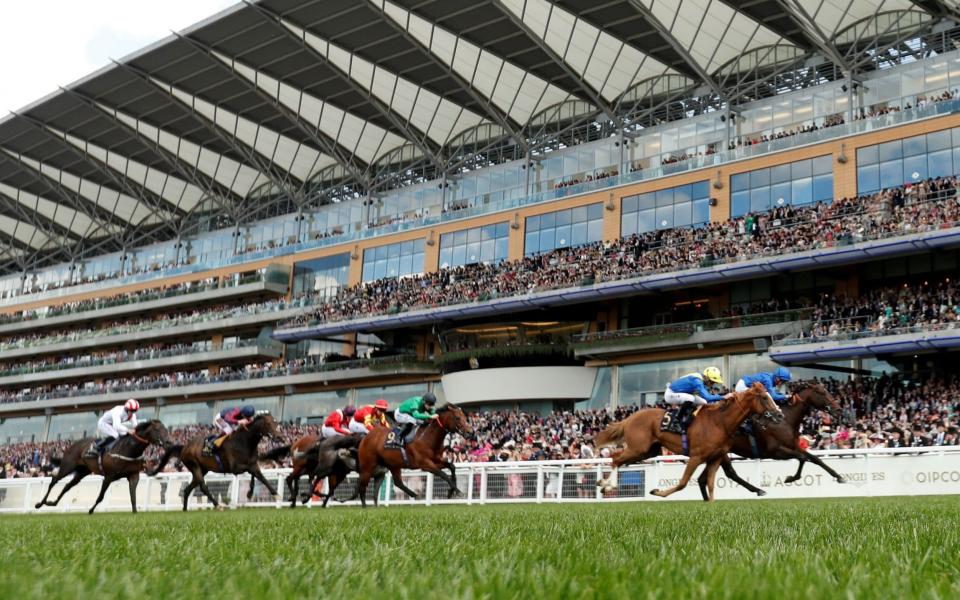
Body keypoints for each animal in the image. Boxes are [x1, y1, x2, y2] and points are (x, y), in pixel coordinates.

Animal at [33, 420, 172, 512]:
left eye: (166, 429)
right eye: (157, 429)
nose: (169, 442)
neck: (129, 449)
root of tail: (72, 445)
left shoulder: (133, 476)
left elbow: (133, 498)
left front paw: (135, 513)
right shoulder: (109, 476)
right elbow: (101, 496)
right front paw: (90, 510)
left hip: (82, 472)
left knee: (67, 486)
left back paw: (52, 503)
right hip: (68, 466)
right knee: (54, 480)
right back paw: (40, 503)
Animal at [148, 412, 280, 510]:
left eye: (276, 422)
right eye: (268, 423)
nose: (279, 437)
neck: (245, 441)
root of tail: (184, 447)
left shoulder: (253, 463)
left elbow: (260, 476)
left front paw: (274, 494)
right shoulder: (236, 468)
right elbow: (253, 473)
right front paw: (252, 492)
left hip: (202, 469)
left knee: (187, 489)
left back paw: (185, 510)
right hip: (194, 465)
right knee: (203, 486)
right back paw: (217, 505)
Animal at [592, 384, 780, 502]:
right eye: (765, 397)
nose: (779, 414)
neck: (719, 422)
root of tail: (630, 418)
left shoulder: (715, 458)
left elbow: (711, 484)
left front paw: (712, 504)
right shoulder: (696, 456)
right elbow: (683, 483)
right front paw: (657, 491)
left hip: (648, 451)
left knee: (618, 460)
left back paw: (604, 485)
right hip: (638, 448)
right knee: (616, 459)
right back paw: (609, 485)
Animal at [696, 380, 848, 502]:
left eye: (828, 391)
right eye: (821, 392)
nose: (839, 410)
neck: (785, 420)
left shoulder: (794, 446)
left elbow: (815, 459)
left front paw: (839, 477)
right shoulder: (775, 451)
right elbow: (803, 458)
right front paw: (790, 478)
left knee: (703, 479)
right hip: (720, 452)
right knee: (729, 473)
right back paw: (758, 490)